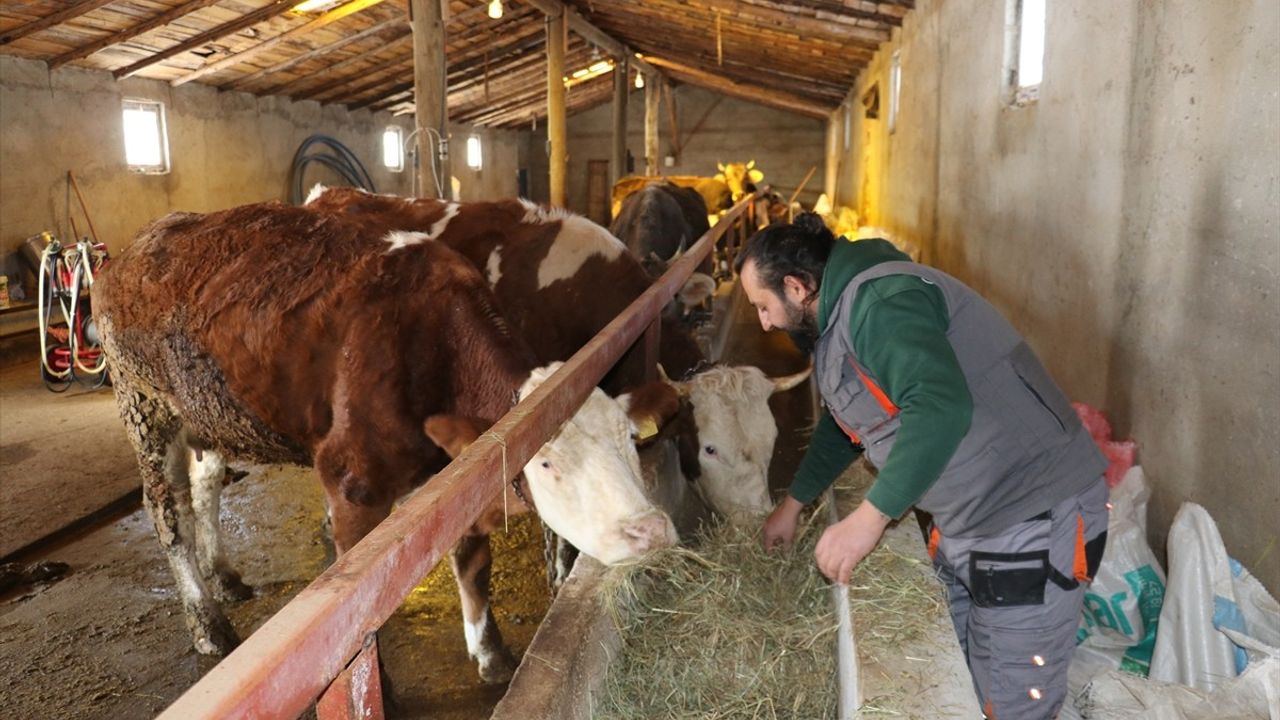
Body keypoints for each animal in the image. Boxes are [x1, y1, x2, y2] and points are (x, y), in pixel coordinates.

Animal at [93, 199, 680, 676]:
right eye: (547, 464)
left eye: (631, 441)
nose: (650, 529)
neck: (430, 343)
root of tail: (138, 243)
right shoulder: (352, 483)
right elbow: (357, 630)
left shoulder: (458, 467)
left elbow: (473, 562)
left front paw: (490, 653)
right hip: (142, 406)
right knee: (168, 514)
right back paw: (208, 624)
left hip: (209, 413)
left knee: (206, 483)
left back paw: (224, 576)